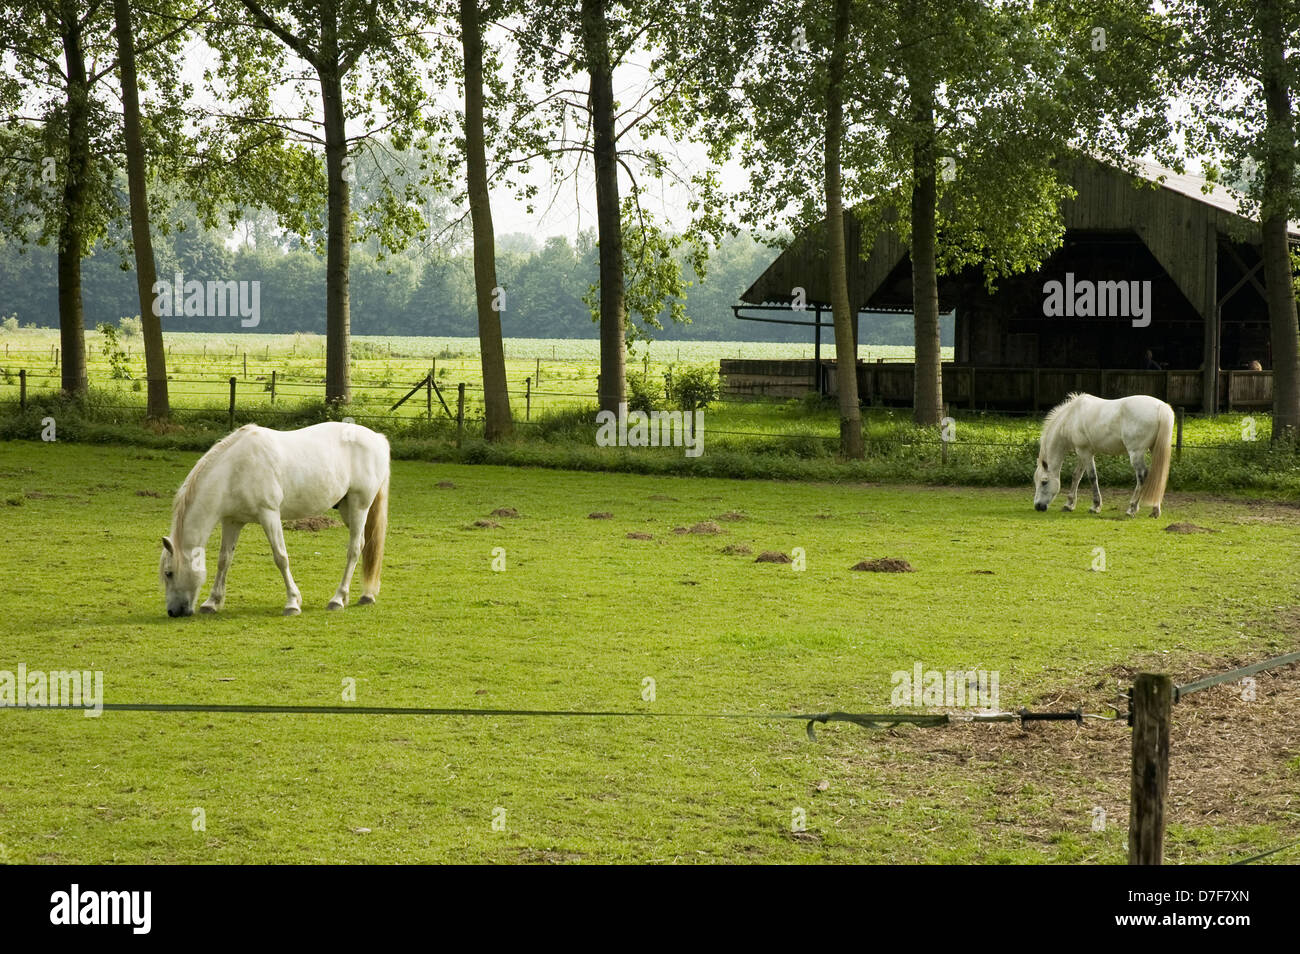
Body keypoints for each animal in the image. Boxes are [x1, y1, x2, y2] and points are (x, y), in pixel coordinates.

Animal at [160, 422, 390, 617]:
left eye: (169, 573)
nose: (173, 612)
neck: (234, 470)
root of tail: (377, 439)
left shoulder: (269, 514)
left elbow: (280, 557)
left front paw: (292, 603)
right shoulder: (232, 521)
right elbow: (224, 560)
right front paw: (212, 602)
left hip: (359, 506)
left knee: (354, 550)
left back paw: (338, 599)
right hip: (347, 509)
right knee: (364, 544)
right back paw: (365, 595)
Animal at [1033, 393, 1174, 517]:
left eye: (1044, 482)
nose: (1038, 506)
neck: (1071, 417)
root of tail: (1161, 407)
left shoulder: (1086, 452)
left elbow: (1092, 477)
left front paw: (1095, 506)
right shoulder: (1083, 453)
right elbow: (1076, 476)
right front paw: (1069, 504)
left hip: (1136, 453)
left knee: (1142, 476)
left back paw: (1131, 509)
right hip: (1154, 450)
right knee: (1159, 476)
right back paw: (1155, 511)